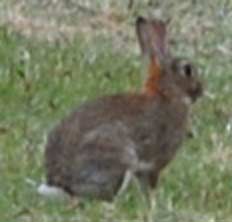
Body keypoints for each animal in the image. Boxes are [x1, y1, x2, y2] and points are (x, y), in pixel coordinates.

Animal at [38, 16, 203, 202]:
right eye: (187, 70)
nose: (201, 90)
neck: (167, 93)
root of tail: (60, 183)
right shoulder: (155, 163)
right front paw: (153, 201)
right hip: (119, 155)